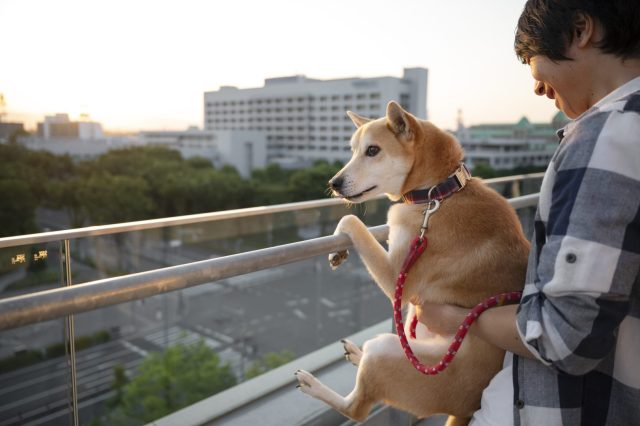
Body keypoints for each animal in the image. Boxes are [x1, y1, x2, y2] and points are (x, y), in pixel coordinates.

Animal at [296, 102, 528, 426]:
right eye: (353, 150)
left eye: (373, 150)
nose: (333, 183)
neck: (438, 194)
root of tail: (467, 407)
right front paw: (337, 252)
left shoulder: (396, 277)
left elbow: (352, 220)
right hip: (405, 340)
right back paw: (356, 353)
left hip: (386, 353)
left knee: (356, 409)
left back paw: (316, 385)